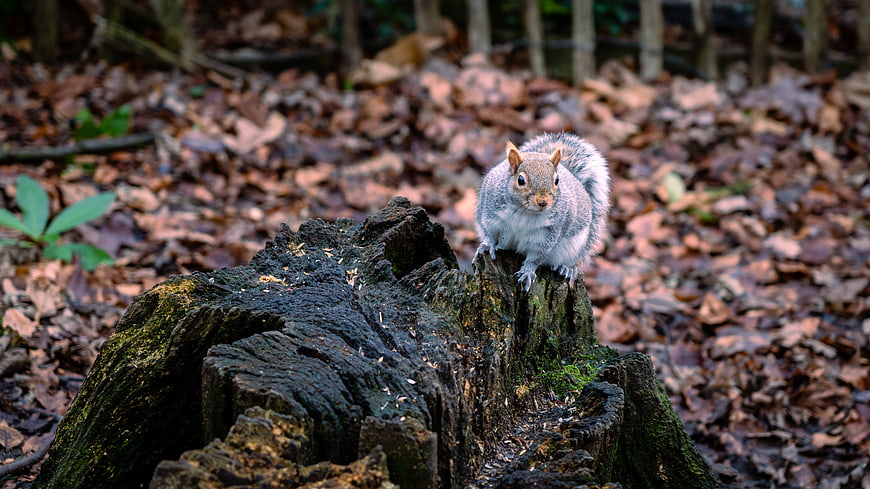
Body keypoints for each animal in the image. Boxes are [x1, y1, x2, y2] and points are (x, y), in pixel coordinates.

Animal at [475, 133, 610, 291]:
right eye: (521, 180)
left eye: (557, 181)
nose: (543, 202)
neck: (525, 211)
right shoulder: (491, 215)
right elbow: (489, 233)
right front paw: (487, 245)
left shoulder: (548, 234)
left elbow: (536, 257)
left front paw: (527, 272)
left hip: (576, 247)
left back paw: (566, 268)